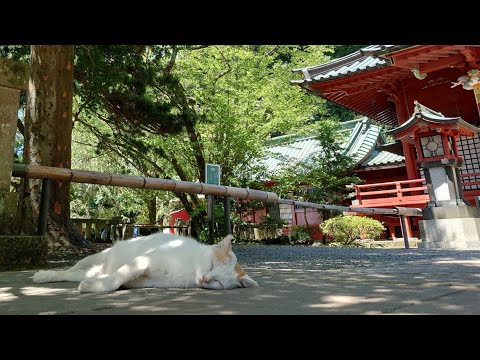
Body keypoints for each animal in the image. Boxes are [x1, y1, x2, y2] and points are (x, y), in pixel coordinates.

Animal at [31, 233, 256, 292]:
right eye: (210, 265)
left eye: (218, 282)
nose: (204, 279)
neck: (190, 270)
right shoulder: (144, 260)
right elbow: (117, 278)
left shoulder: (145, 279)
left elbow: (118, 280)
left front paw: (96, 286)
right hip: (93, 257)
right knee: (67, 271)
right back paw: (44, 275)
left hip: (92, 270)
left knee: (73, 275)